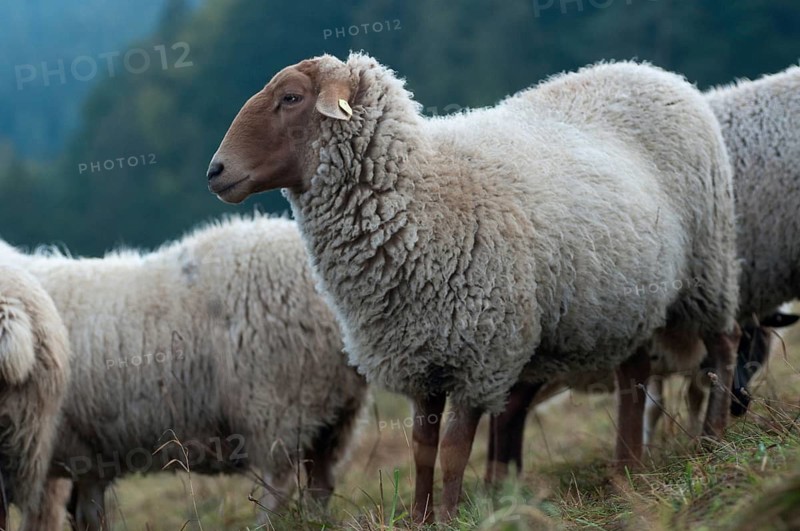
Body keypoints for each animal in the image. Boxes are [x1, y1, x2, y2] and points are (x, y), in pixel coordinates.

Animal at [206, 53, 740, 521]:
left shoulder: (479, 354)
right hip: (628, 302)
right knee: (633, 377)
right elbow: (422, 449)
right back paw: (627, 469)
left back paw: (713, 438)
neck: (422, 198)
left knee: (723, 344)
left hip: (708, 267)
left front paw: (448, 516)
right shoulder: (419, 356)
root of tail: (651, 71)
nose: (215, 171)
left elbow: (454, 450)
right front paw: (419, 518)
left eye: (291, 97)